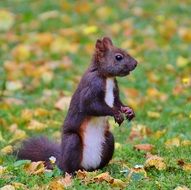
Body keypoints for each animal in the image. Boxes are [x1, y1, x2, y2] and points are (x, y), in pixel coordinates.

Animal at [16, 36, 137, 174]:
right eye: (118, 57)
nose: (135, 63)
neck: (107, 78)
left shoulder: (114, 91)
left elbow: (117, 102)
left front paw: (128, 110)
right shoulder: (91, 88)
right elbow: (92, 106)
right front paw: (116, 113)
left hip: (109, 140)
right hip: (72, 142)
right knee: (68, 166)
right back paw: (72, 174)